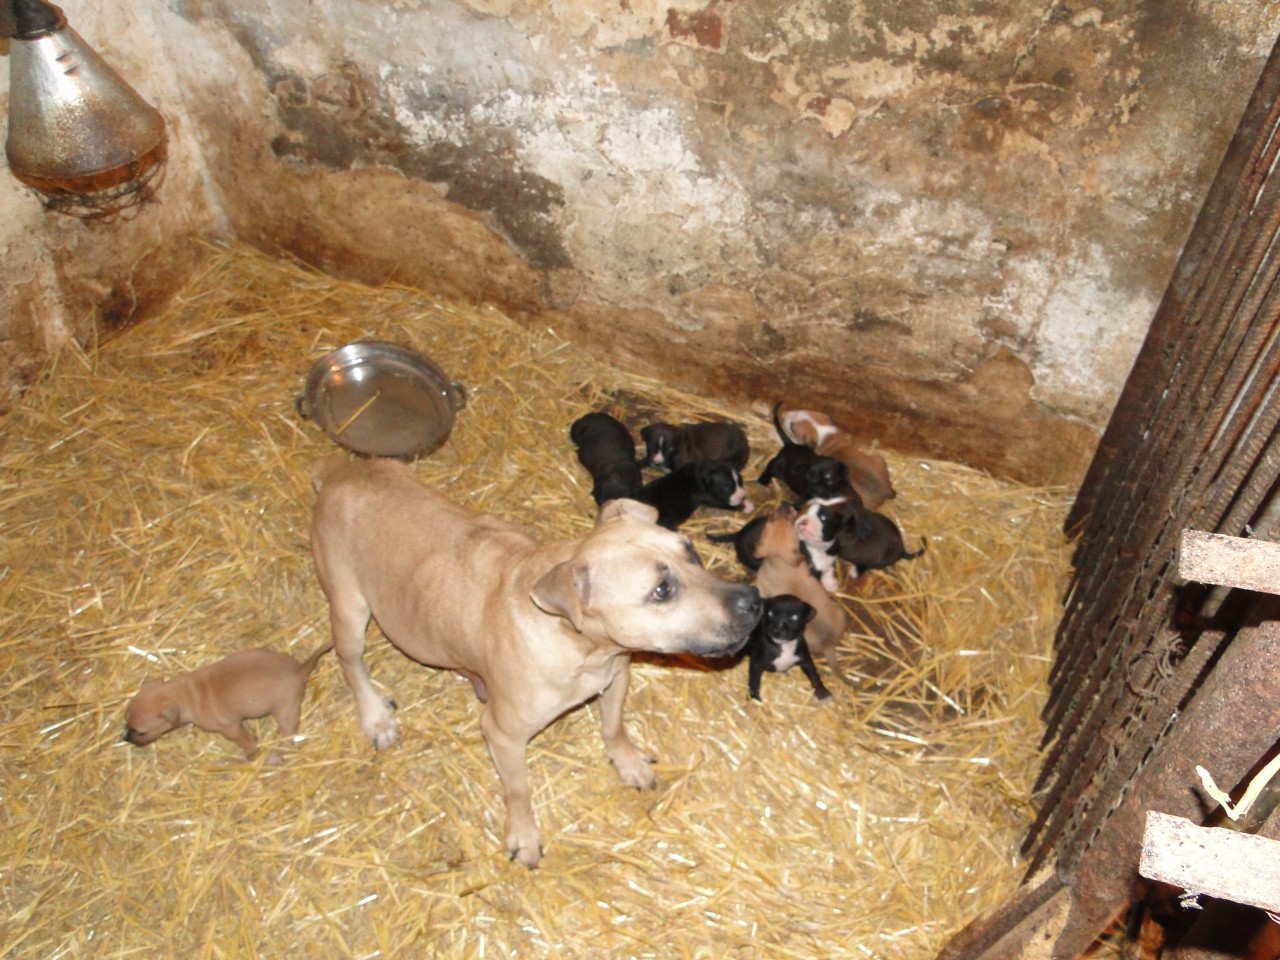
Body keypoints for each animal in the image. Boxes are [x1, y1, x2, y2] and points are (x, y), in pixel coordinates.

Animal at [122, 647, 332, 768]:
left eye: (140, 732)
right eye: (125, 722)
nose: (125, 739)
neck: (185, 694)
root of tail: (299, 670)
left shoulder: (230, 728)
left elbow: (246, 742)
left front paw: (251, 755)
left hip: (285, 711)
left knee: (288, 734)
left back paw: (275, 756)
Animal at [308, 455, 757, 870]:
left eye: (692, 553)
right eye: (661, 590)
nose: (753, 601)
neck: (582, 646)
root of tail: (338, 473)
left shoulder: (616, 676)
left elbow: (613, 727)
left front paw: (627, 762)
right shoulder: (503, 734)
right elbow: (518, 790)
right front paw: (523, 835)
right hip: (349, 608)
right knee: (350, 662)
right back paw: (375, 718)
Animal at [747, 506, 849, 686]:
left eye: (789, 520)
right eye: (773, 518)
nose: (783, 507)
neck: (780, 563)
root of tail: (828, 643)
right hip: (840, 613)